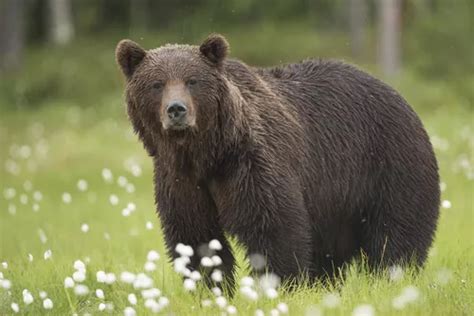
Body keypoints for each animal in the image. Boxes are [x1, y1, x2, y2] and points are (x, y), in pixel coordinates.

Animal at [115, 33, 440, 290]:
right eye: (157, 84)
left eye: (192, 81)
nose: (176, 110)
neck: (206, 154)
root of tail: (396, 94)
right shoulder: (181, 179)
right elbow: (195, 236)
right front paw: (210, 289)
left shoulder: (251, 164)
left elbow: (273, 226)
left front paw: (281, 285)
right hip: (335, 204)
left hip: (388, 164)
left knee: (396, 234)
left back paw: (393, 277)